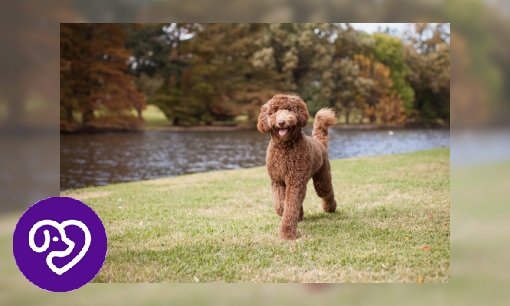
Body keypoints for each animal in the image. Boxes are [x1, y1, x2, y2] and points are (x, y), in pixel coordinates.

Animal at [256, 94, 336, 240]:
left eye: (288, 109)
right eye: (273, 111)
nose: (281, 122)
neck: (284, 147)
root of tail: (319, 142)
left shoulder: (295, 181)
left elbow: (290, 207)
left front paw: (286, 233)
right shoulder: (277, 180)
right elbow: (280, 205)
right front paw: (290, 214)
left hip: (322, 178)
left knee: (326, 192)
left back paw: (330, 208)